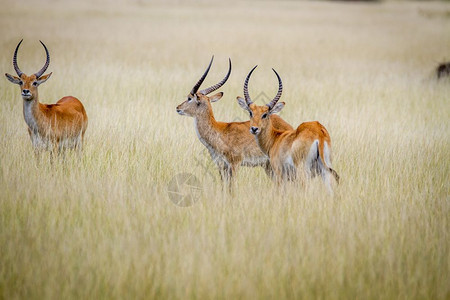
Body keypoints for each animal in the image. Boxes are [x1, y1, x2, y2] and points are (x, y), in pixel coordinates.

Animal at [174, 56, 294, 188]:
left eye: (189, 98)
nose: (178, 108)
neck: (219, 132)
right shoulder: (221, 166)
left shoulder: (234, 164)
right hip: (268, 167)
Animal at [237, 66, 340, 195]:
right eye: (251, 112)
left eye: (265, 114)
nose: (254, 129)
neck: (276, 138)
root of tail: (319, 133)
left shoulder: (279, 175)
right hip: (325, 171)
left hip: (303, 172)